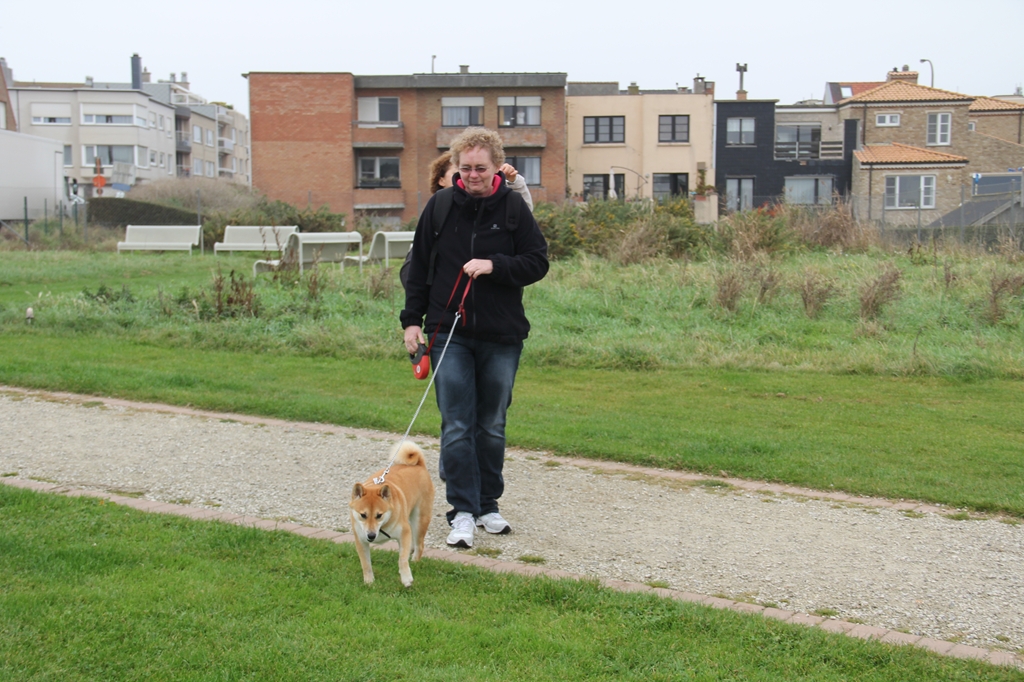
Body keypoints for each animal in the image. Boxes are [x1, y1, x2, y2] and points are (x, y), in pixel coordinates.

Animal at [350, 440, 434, 585]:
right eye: (363, 515)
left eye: (379, 515)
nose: (371, 535)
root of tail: (419, 465)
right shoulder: (361, 540)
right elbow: (366, 564)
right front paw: (369, 582)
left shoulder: (404, 532)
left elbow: (402, 560)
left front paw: (406, 578)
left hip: (420, 519)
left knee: (420, 545)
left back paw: (415, 561)